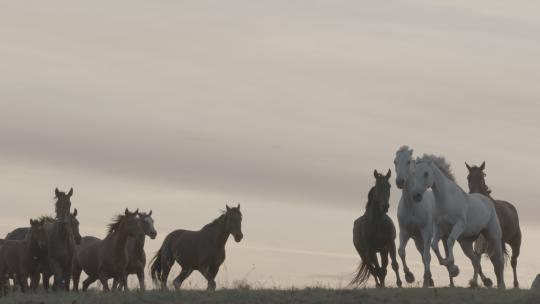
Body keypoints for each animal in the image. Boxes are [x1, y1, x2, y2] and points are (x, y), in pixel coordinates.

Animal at [392, 147, 456, 288]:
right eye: (395, 162)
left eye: (408, 161)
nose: (399, 182)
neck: (412, 206)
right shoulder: (405, 232)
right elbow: (401, 251)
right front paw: (409, 276)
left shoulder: (426, 232)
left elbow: (427, 256)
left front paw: (426, 280)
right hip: (418, 240)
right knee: (422, 254)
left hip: (443, 235)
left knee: (445, 251)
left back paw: (452, 277)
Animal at [410, 154, 506, 288]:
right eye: (413, 173)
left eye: (426, 173)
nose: (416, 196)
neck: (446, 199)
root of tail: (487, 201)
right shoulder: (439, 227)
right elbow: (434, 245)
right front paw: (448, 265)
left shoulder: (458, 225)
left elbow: (450, 241)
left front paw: (452, 264)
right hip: (466, 243)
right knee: (476, 261)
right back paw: (474, 284)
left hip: (494, 236)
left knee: (499, 261)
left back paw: (501, 285)